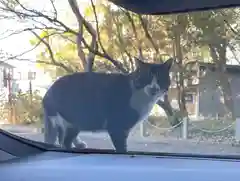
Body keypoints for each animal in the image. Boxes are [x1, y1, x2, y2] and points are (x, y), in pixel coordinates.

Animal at [41, 57, 172, 152]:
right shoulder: (117, 126)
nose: (154, 88)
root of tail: (47, 93)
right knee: (63, 140)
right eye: (146, 78)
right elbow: (121, 147)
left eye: (159, 79)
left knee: (64, 139)